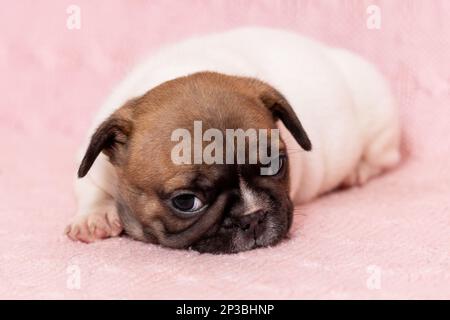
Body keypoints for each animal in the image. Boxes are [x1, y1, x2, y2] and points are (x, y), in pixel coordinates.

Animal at [65, 27, 400, 254]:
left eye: (275, 165)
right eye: (185, 201)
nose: (253, 217)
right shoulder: (95, 163)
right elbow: (89, 187)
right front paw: (95, 217)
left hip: (380, 125)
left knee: (385, 157)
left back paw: (358, 171)